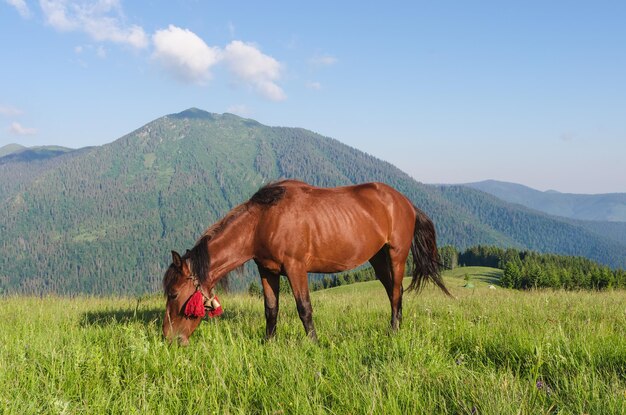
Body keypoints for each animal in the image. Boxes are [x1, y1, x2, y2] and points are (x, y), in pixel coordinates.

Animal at [163, 180, 450, 346]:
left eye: (174, 293)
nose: (168, 338)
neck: (262, 221)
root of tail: (406, 203)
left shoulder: (295, 268)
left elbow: (304, 309)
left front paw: (313, 344)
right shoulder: (267, 270)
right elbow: (271, 309)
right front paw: (268, 343)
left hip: (396, 255)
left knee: (396, 293)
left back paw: (394, 331)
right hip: (378, 258)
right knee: (392, 291)